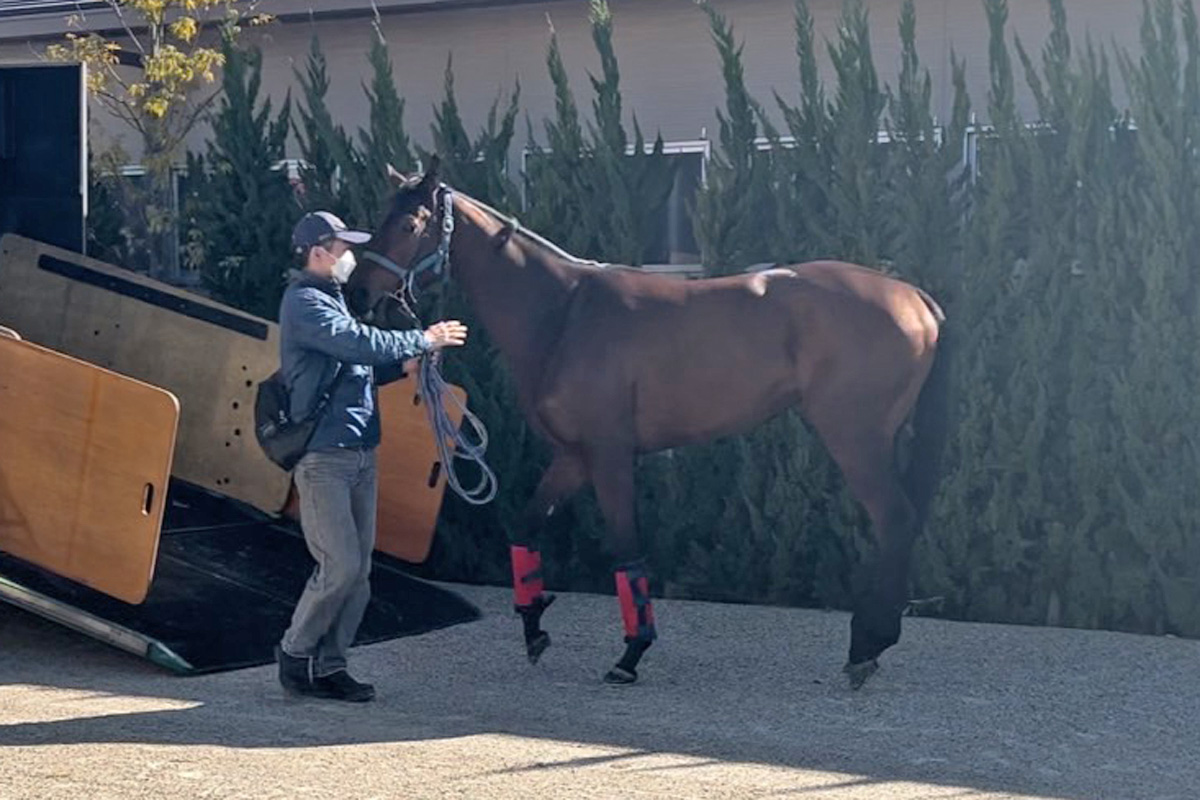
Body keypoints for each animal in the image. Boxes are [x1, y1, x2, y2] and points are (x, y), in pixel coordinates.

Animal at [347, 156, 952, 689]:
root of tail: (914, 296)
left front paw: (631, 653)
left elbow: (627, 550)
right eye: (379, 215)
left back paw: (866, 647)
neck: (564, 314)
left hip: (856, 439)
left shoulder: (611, 456)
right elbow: (525, 530)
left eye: (409, 223)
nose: (356, 294)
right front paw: (534, 624)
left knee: (895, 520)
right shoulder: (574, 457)